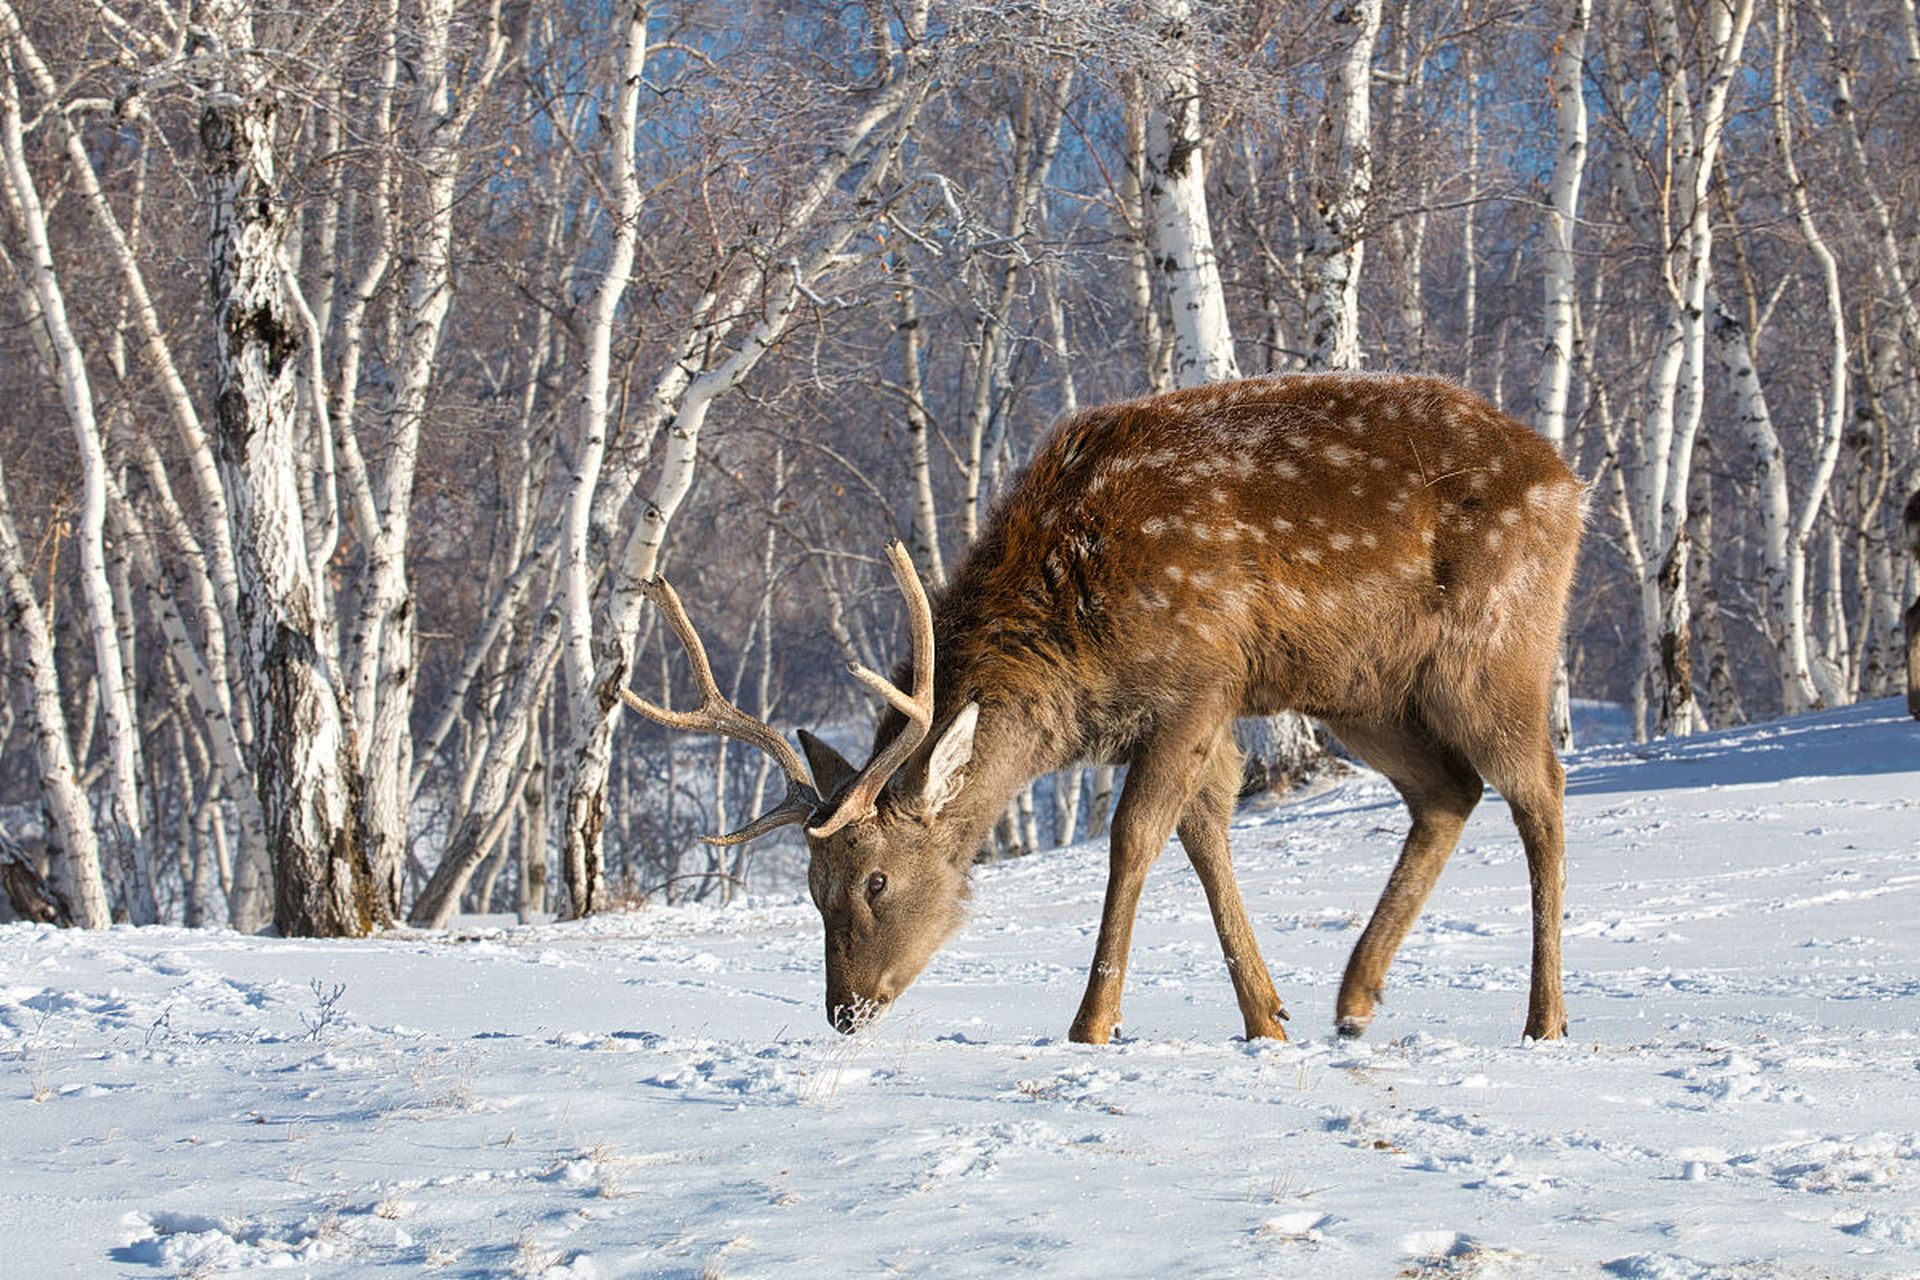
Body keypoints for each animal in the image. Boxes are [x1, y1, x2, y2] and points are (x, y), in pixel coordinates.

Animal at [622, 370, 1582, 1043]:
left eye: (876, 879)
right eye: (812, 889)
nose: (845, 1011)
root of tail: (1567, 482)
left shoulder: (1200, 678)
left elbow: (1134, 839)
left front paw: (1091, 1024)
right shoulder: (1181, 720)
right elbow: (1203, 837)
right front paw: (1266, 1018)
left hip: (1497, 644)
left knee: (1540, 788)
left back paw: (1544, 1019)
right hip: (1360, 686)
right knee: (1448, 790)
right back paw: (1354, 998)